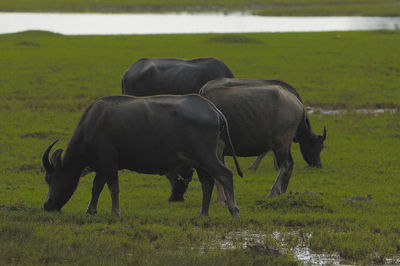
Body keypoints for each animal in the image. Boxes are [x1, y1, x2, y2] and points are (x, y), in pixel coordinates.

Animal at [41, 95, 241, 218]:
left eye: (49, 179)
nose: (47, 205)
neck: (91, 125)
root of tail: (213, 109)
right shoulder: (102, 166)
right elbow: (96, 187)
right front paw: (90, 210)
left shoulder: (108, 161)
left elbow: (113, 188)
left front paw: (116, 212)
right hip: (198, 161)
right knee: (207, 183)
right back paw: (203, 213)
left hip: (206, 156)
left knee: (225, 175)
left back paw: (234, 210)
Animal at [170, 78, 326, 201]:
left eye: (321, 148)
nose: (319, 165)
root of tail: (296, 103)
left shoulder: (216, 150)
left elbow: (217, 175)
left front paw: (221, 199)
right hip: (282, 143)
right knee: (289, 165)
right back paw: (281, 191)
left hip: (281, 141)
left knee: (287, 165)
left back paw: (273, 192)